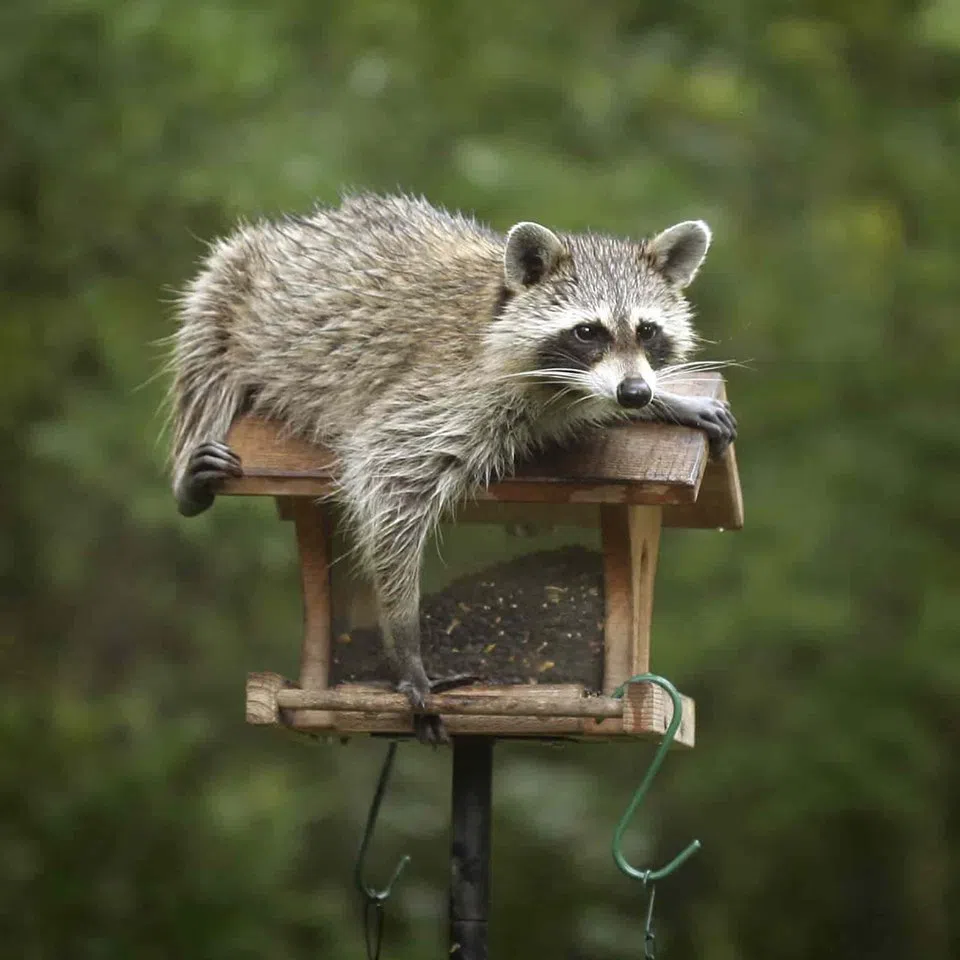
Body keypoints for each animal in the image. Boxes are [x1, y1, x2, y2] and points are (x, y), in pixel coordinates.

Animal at [171, 193, 736, 744]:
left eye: (647, 330)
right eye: (587, 332)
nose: (634, 392)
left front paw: (664, 400)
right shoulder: (447, 393)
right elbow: (388, 476)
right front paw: (405, 640)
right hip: (227, 290)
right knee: (203, 367)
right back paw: (189, 476)